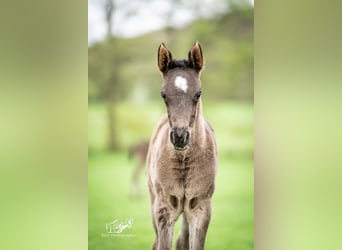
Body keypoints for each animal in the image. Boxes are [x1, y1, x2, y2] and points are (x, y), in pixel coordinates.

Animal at [146, 43, 216, 250]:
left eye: (198, 94)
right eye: (163, 95)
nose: (179, 137)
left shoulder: (200, 208)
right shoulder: (164, 209)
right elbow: (163, 245)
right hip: (152, 200)